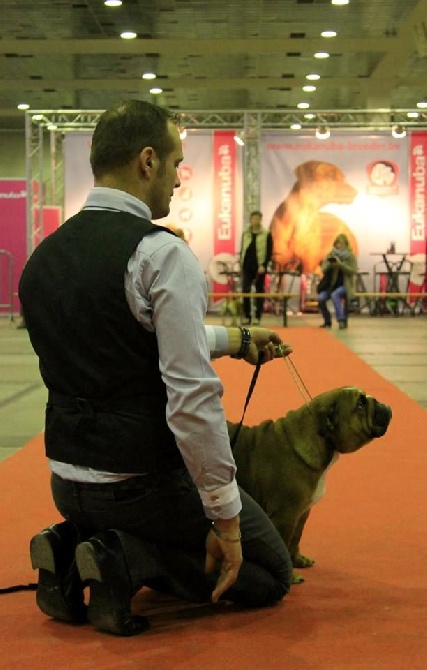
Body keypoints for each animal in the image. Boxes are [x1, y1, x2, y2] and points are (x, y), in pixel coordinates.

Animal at [229, 386, 392, 584]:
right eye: (360, 404)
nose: (379, 402)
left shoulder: (302, 513)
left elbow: (295, 538)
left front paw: (298, 560)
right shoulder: (286, 516)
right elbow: (284, 542)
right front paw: (291, 576)